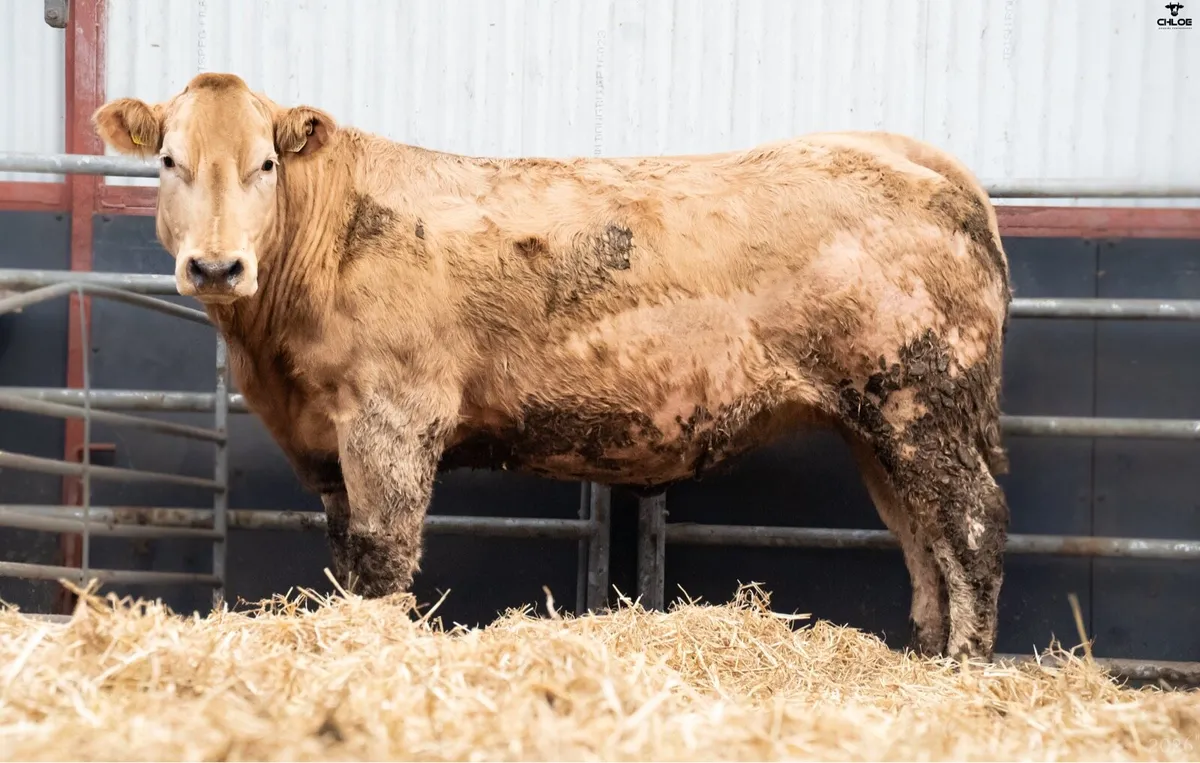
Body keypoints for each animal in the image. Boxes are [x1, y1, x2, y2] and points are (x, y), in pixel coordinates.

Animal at [93, 72, 1012, 662]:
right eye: (169, 160)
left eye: (267, 164)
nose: (217, 266)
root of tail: (911, 158)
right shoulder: (325, 442)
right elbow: (348, 556)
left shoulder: (392, 419)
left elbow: (383, 559)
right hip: (876, 423)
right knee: (921, 534)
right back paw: (925, 656)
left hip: (920, 400)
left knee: (971, 523)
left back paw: (963, 667)